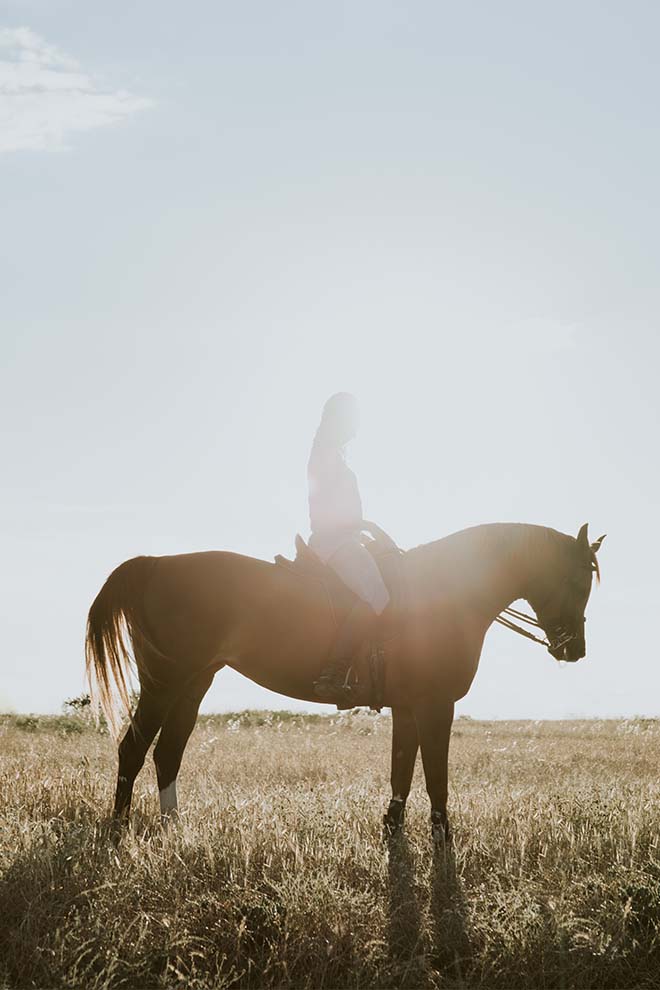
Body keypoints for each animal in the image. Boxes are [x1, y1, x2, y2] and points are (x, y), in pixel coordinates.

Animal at [85, 521, 604, 840]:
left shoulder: (408, 706)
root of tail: (157, 562)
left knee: (167, 752)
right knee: (133, 748)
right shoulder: (436, 705)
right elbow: (435, 775)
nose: (574, 650)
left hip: (193, 684)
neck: (444, 592)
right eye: (580, 580)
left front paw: (393, 829)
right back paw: (119, 828)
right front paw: (442, 837)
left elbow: (402, 770)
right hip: (164, 682)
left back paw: (173, 828)